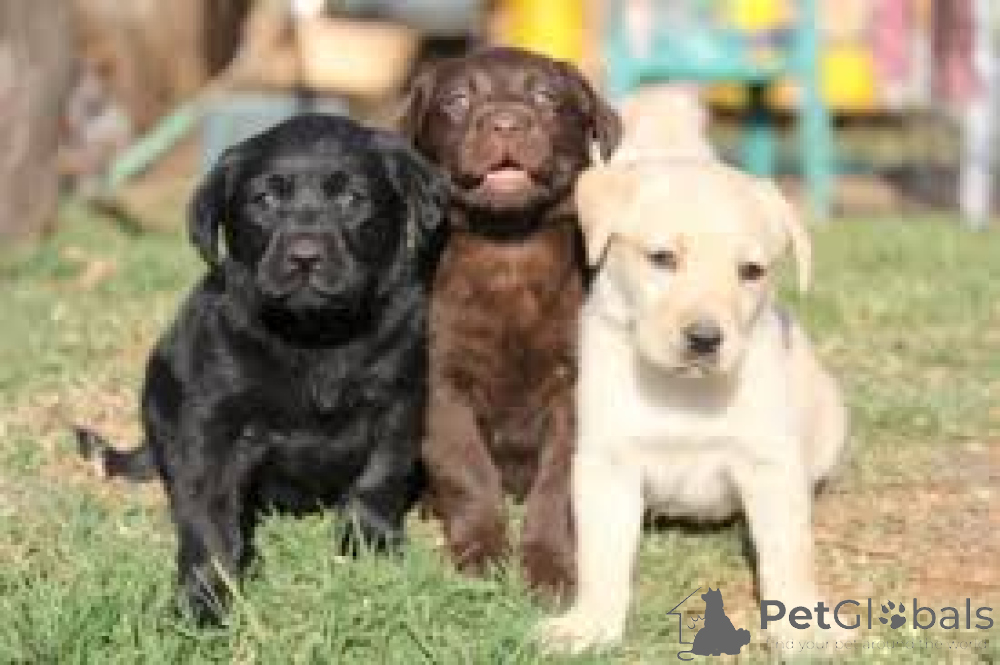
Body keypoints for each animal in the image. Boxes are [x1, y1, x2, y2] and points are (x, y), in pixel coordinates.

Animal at [75, 114, 446, 622]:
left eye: (352, 198)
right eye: (265, 200)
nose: (305, 255)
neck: (315, 335)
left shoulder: (398, 400)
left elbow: (380, 476)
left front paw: (369, 544)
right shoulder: (212, 423)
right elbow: (208, 515)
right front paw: (204, 598)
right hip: (159, 390)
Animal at [399, 46, 621, 593]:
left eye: (545, 96)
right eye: (458, 100)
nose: (505, 121)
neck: (508, 246)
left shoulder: (575, 390)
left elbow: (558, 485)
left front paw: (549, 567)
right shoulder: (443, 386)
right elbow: (467, 469)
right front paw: (481, 551)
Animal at [537, 158, 847, 651]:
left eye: (751, 271)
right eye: (662, 258)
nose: (705, 340)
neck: (684, 392)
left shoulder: (771, 464)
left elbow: (789, 552)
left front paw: (804, 626)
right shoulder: (607, 464)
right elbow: (600, 554)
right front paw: (589, 624)